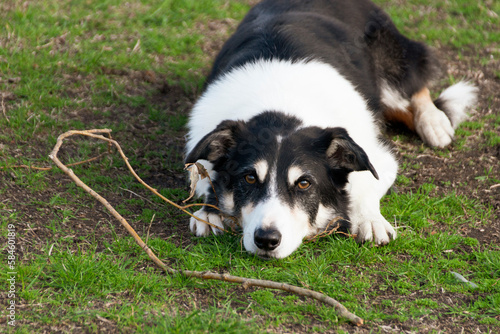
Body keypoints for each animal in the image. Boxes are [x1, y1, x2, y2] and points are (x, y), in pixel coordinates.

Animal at [183, 0, 476, 258]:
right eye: (250, 178)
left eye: (304, 183)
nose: (266, 240)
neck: (281, 100)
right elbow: (204, 174)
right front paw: (209, 210)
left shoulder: (379, 158)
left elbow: (365, 185)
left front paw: (370, 220)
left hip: (394, 64)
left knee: (415, 86)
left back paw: (434, 121)